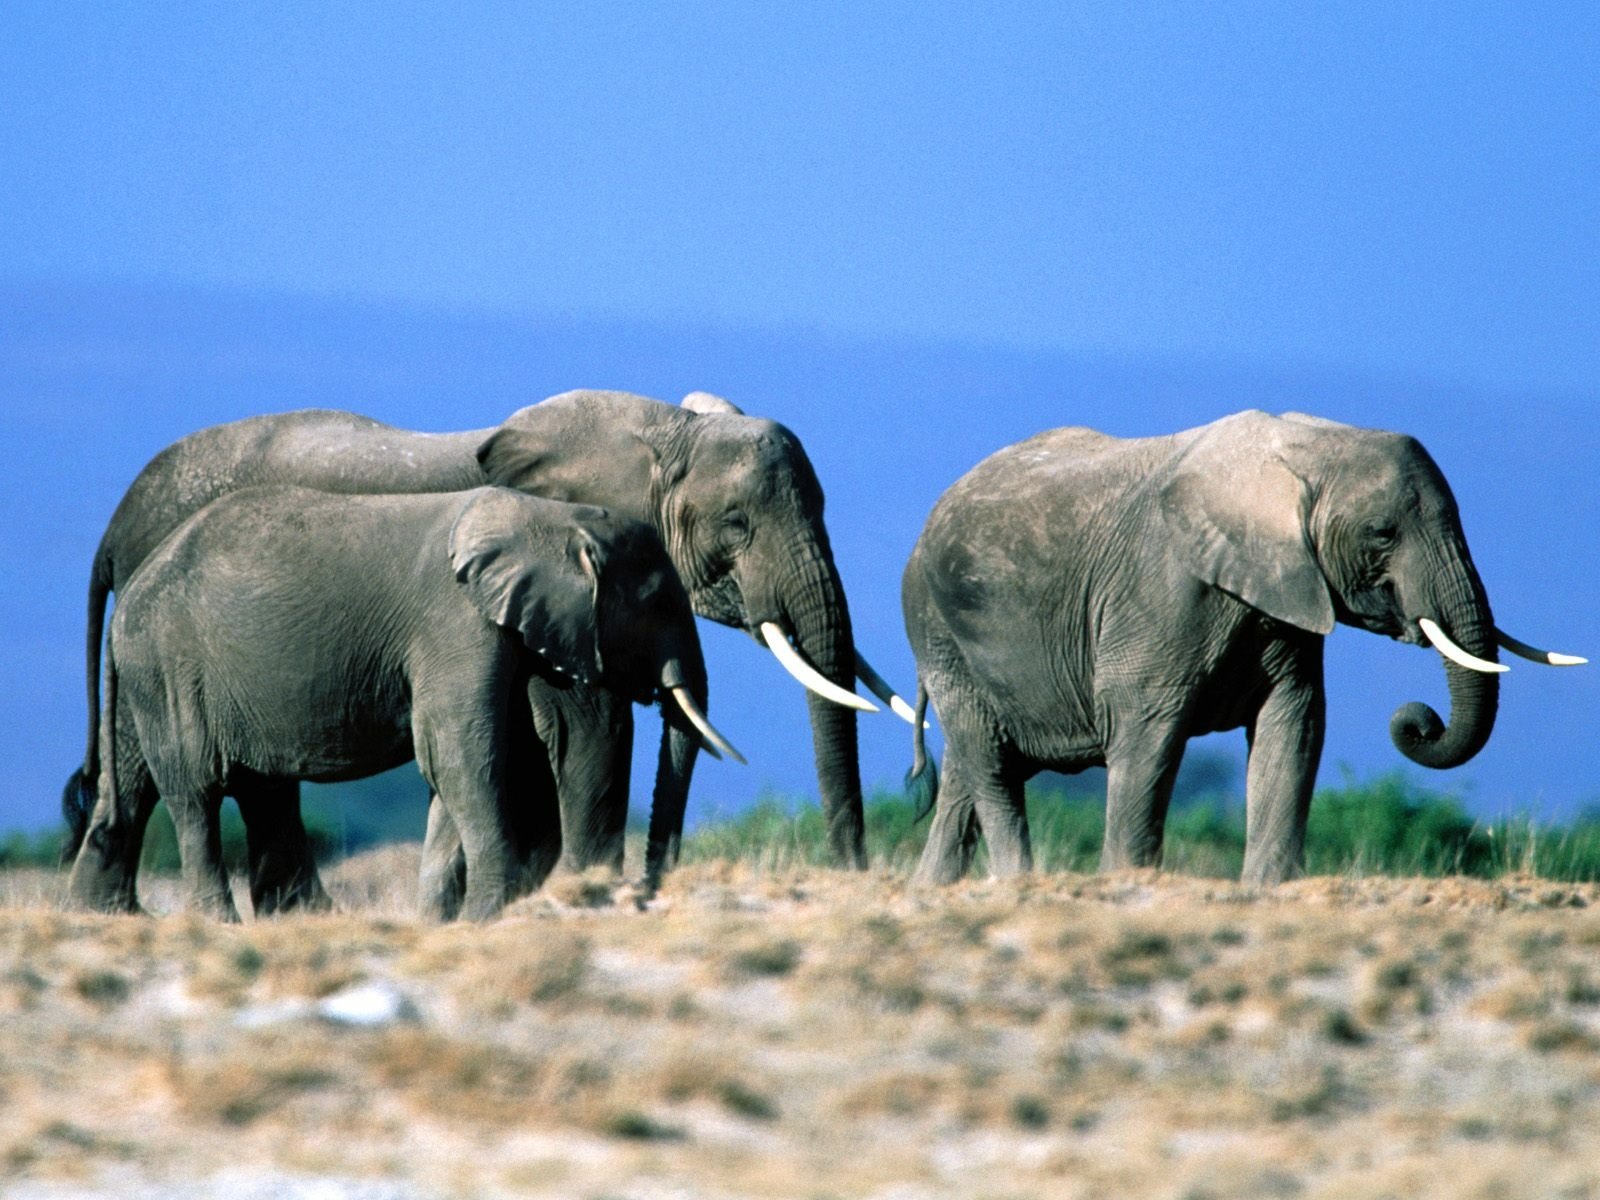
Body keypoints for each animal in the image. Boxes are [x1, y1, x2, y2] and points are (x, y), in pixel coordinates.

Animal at [66, 485, 736, 921]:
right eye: (656, 600)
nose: (646, 894)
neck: (550, 517)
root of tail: (131, 582)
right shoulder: (454, 621)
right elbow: (464, 753)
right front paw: (487, 916)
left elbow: (465, 763)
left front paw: (447, 921)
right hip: (167, 669)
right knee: (197, 793)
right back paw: (218, 925)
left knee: (248, 788)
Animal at [902, 410, 1581, 886]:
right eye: (1382, 533)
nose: (1418, 721)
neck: (1302, 448)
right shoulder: (1158, 593)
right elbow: (1147, 733)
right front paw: (1126, 881)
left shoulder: (1287, 601)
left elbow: (1295, 725)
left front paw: (1269, 887)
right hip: (939, 632)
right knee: (991, 768)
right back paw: (1015, 882)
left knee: (966, 774)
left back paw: (932, 890)